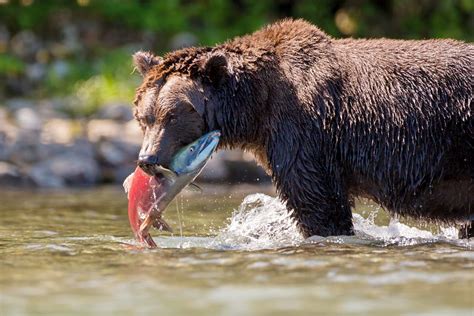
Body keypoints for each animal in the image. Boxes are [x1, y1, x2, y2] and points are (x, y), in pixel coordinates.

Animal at [131, 19, 472, 237]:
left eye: (173, 116)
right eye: (144, 117)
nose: (147, 160)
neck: (256, 108)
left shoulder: (305, 132)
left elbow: (317, 203)